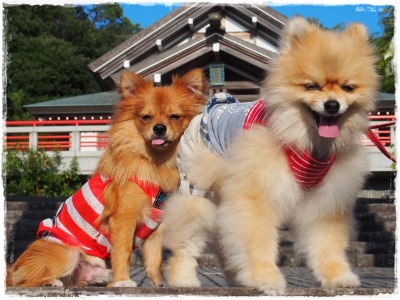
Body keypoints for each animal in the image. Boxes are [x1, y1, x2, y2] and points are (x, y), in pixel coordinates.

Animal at [6, 68, 209, 288]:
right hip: (66, 253)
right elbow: (123, 251)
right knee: (22, 280)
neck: (157, 162)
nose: (159, 128)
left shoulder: (157, 225)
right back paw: (50, 282)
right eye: (145, 117)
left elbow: (154, 257)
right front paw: (123, 281)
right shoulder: (123, 217)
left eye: (175, 117)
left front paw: (158, 284)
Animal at [162, 17, 378, 296]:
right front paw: (265, 277)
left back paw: (238, 279)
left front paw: (337, 276)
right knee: (185, 242)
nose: (332, 105)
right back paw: (183, 279)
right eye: (311, 86)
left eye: (348, 88)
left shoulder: (326, 199)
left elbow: (327, 243)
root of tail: (208, 109)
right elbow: (257, 241)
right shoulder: (257, 195)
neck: (307, 142)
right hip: (197, 190)